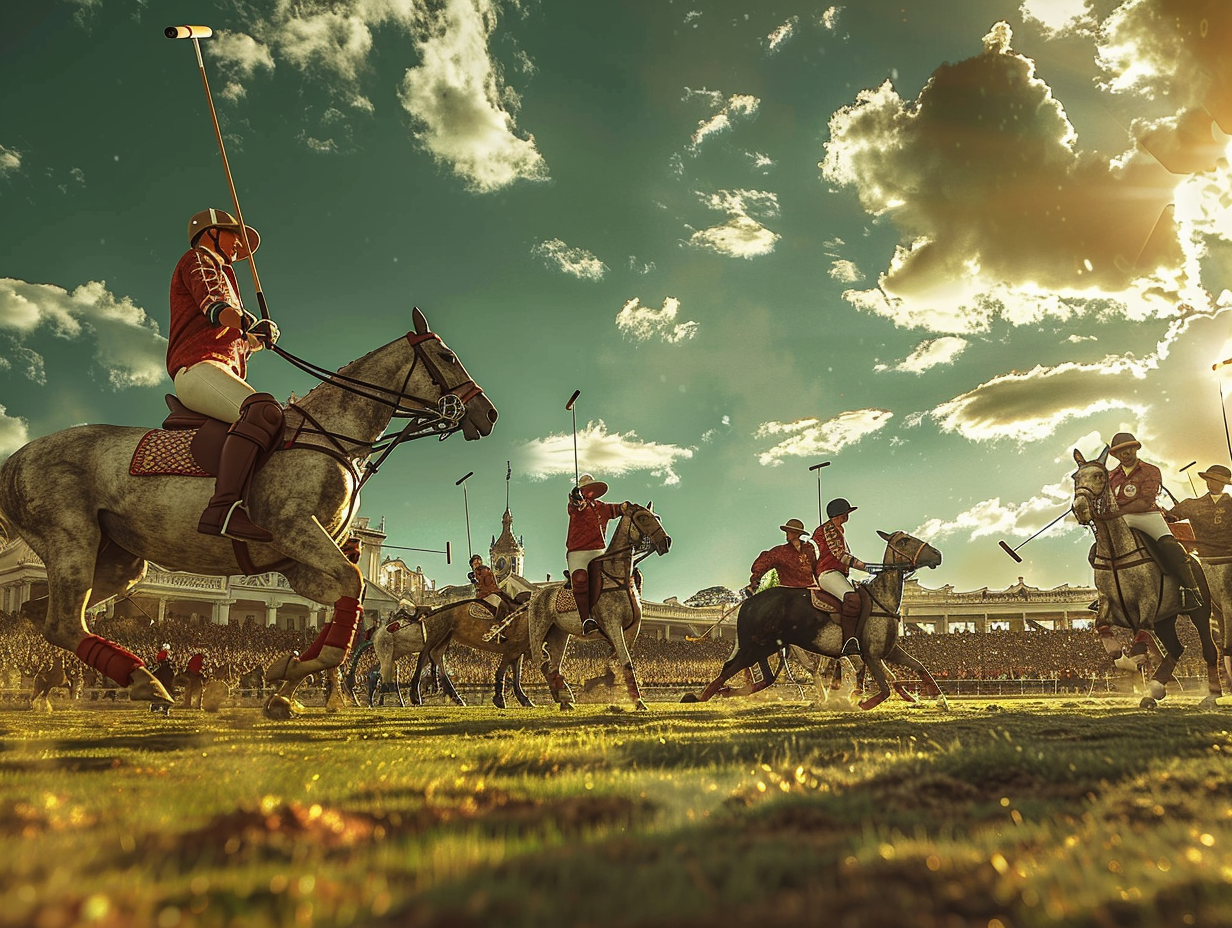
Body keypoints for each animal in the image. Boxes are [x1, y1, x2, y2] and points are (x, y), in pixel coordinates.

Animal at [0, 309, 495, 714]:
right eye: (447, 356)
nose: (487, 414)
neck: (328, 436)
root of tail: (15, 459)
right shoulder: (294, 530)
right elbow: (351, 589)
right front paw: (293, 679)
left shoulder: (298, 563)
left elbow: (347, 601)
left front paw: (286, 678)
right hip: (71, 541)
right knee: (61, 621)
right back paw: (144, 681)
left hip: (118, 560)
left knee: (42, 615)